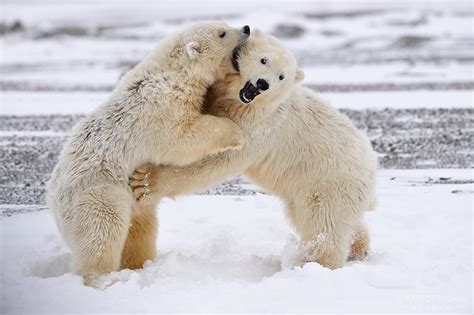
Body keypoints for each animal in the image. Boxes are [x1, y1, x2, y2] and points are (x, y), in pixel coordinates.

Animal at [45, 23, 250, 282]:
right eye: (222, 33)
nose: (247, 28)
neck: (175, 71)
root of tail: (52, 198)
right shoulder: (161, 105)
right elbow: (182, 138)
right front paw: (235, 133)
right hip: (97, 192)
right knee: (103, 232)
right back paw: (103, 277)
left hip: (132, 201)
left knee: (141, 229)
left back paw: (141, 265)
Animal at [131, 29, 378, 270]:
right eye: (263, 60)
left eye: (281, 76)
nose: (262, 84)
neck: (244, 104)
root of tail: (372, 170)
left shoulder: (260, 129)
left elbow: (216, 161)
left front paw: (145, 181)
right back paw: (358, 247)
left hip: (329, 182)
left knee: (324, 225)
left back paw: (309, 262)